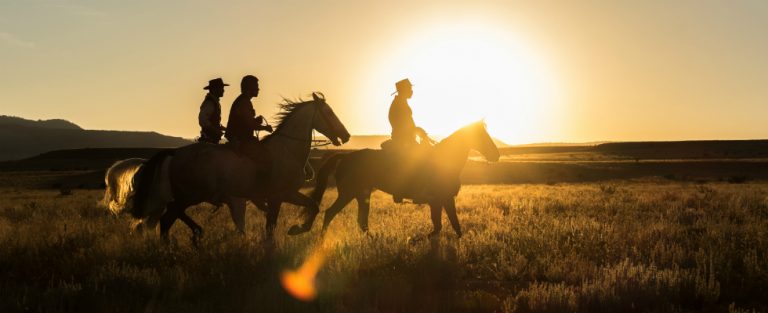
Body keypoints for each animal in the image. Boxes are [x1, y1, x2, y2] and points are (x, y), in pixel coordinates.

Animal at [128, 92, 352, 239]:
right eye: (329, 112)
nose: (346, 135)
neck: (286, 150)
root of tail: (176, 152)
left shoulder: (286, 195)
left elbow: (312, 206)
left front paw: (296, 230)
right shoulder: (280, 196)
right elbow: (274, 225)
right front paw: (294, 231)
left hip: (188, 196)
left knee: (168, 218)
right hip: (189, 195)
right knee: (166, 219)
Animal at [308, 121, 500, 236]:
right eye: (482, 136)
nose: (496, 155)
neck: (444, 161)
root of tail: (345, 157)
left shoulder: (443, 200)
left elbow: (451, 224)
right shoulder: (439, 199)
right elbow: (441, 224)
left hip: (362, 195)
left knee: (361, 221)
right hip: (348, 193)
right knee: (330, 213)